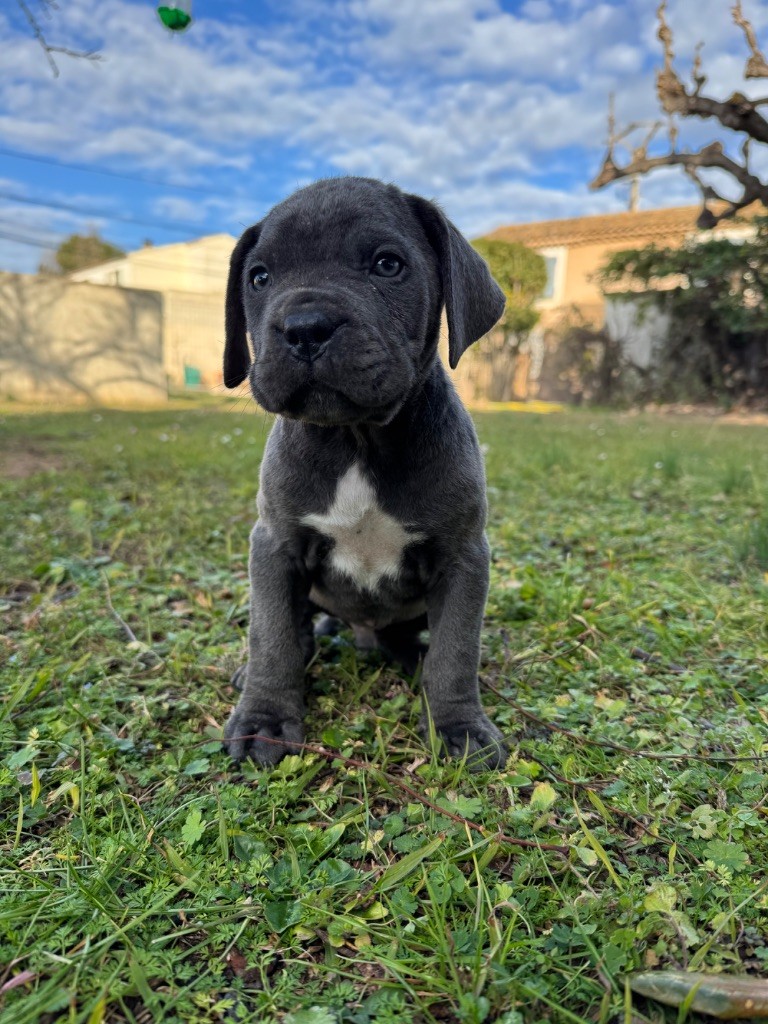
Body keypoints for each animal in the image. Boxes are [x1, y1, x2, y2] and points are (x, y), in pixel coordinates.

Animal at [222, 178, 512, 770]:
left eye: (386, 264)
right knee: (297, 630)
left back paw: (411, 656)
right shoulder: (275, 547)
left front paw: (459, 726)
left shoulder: (463, 556)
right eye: (259, 277)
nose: (305, 328)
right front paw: (264, 718)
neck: (355, 439)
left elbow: (456, 650)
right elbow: (272, 637)